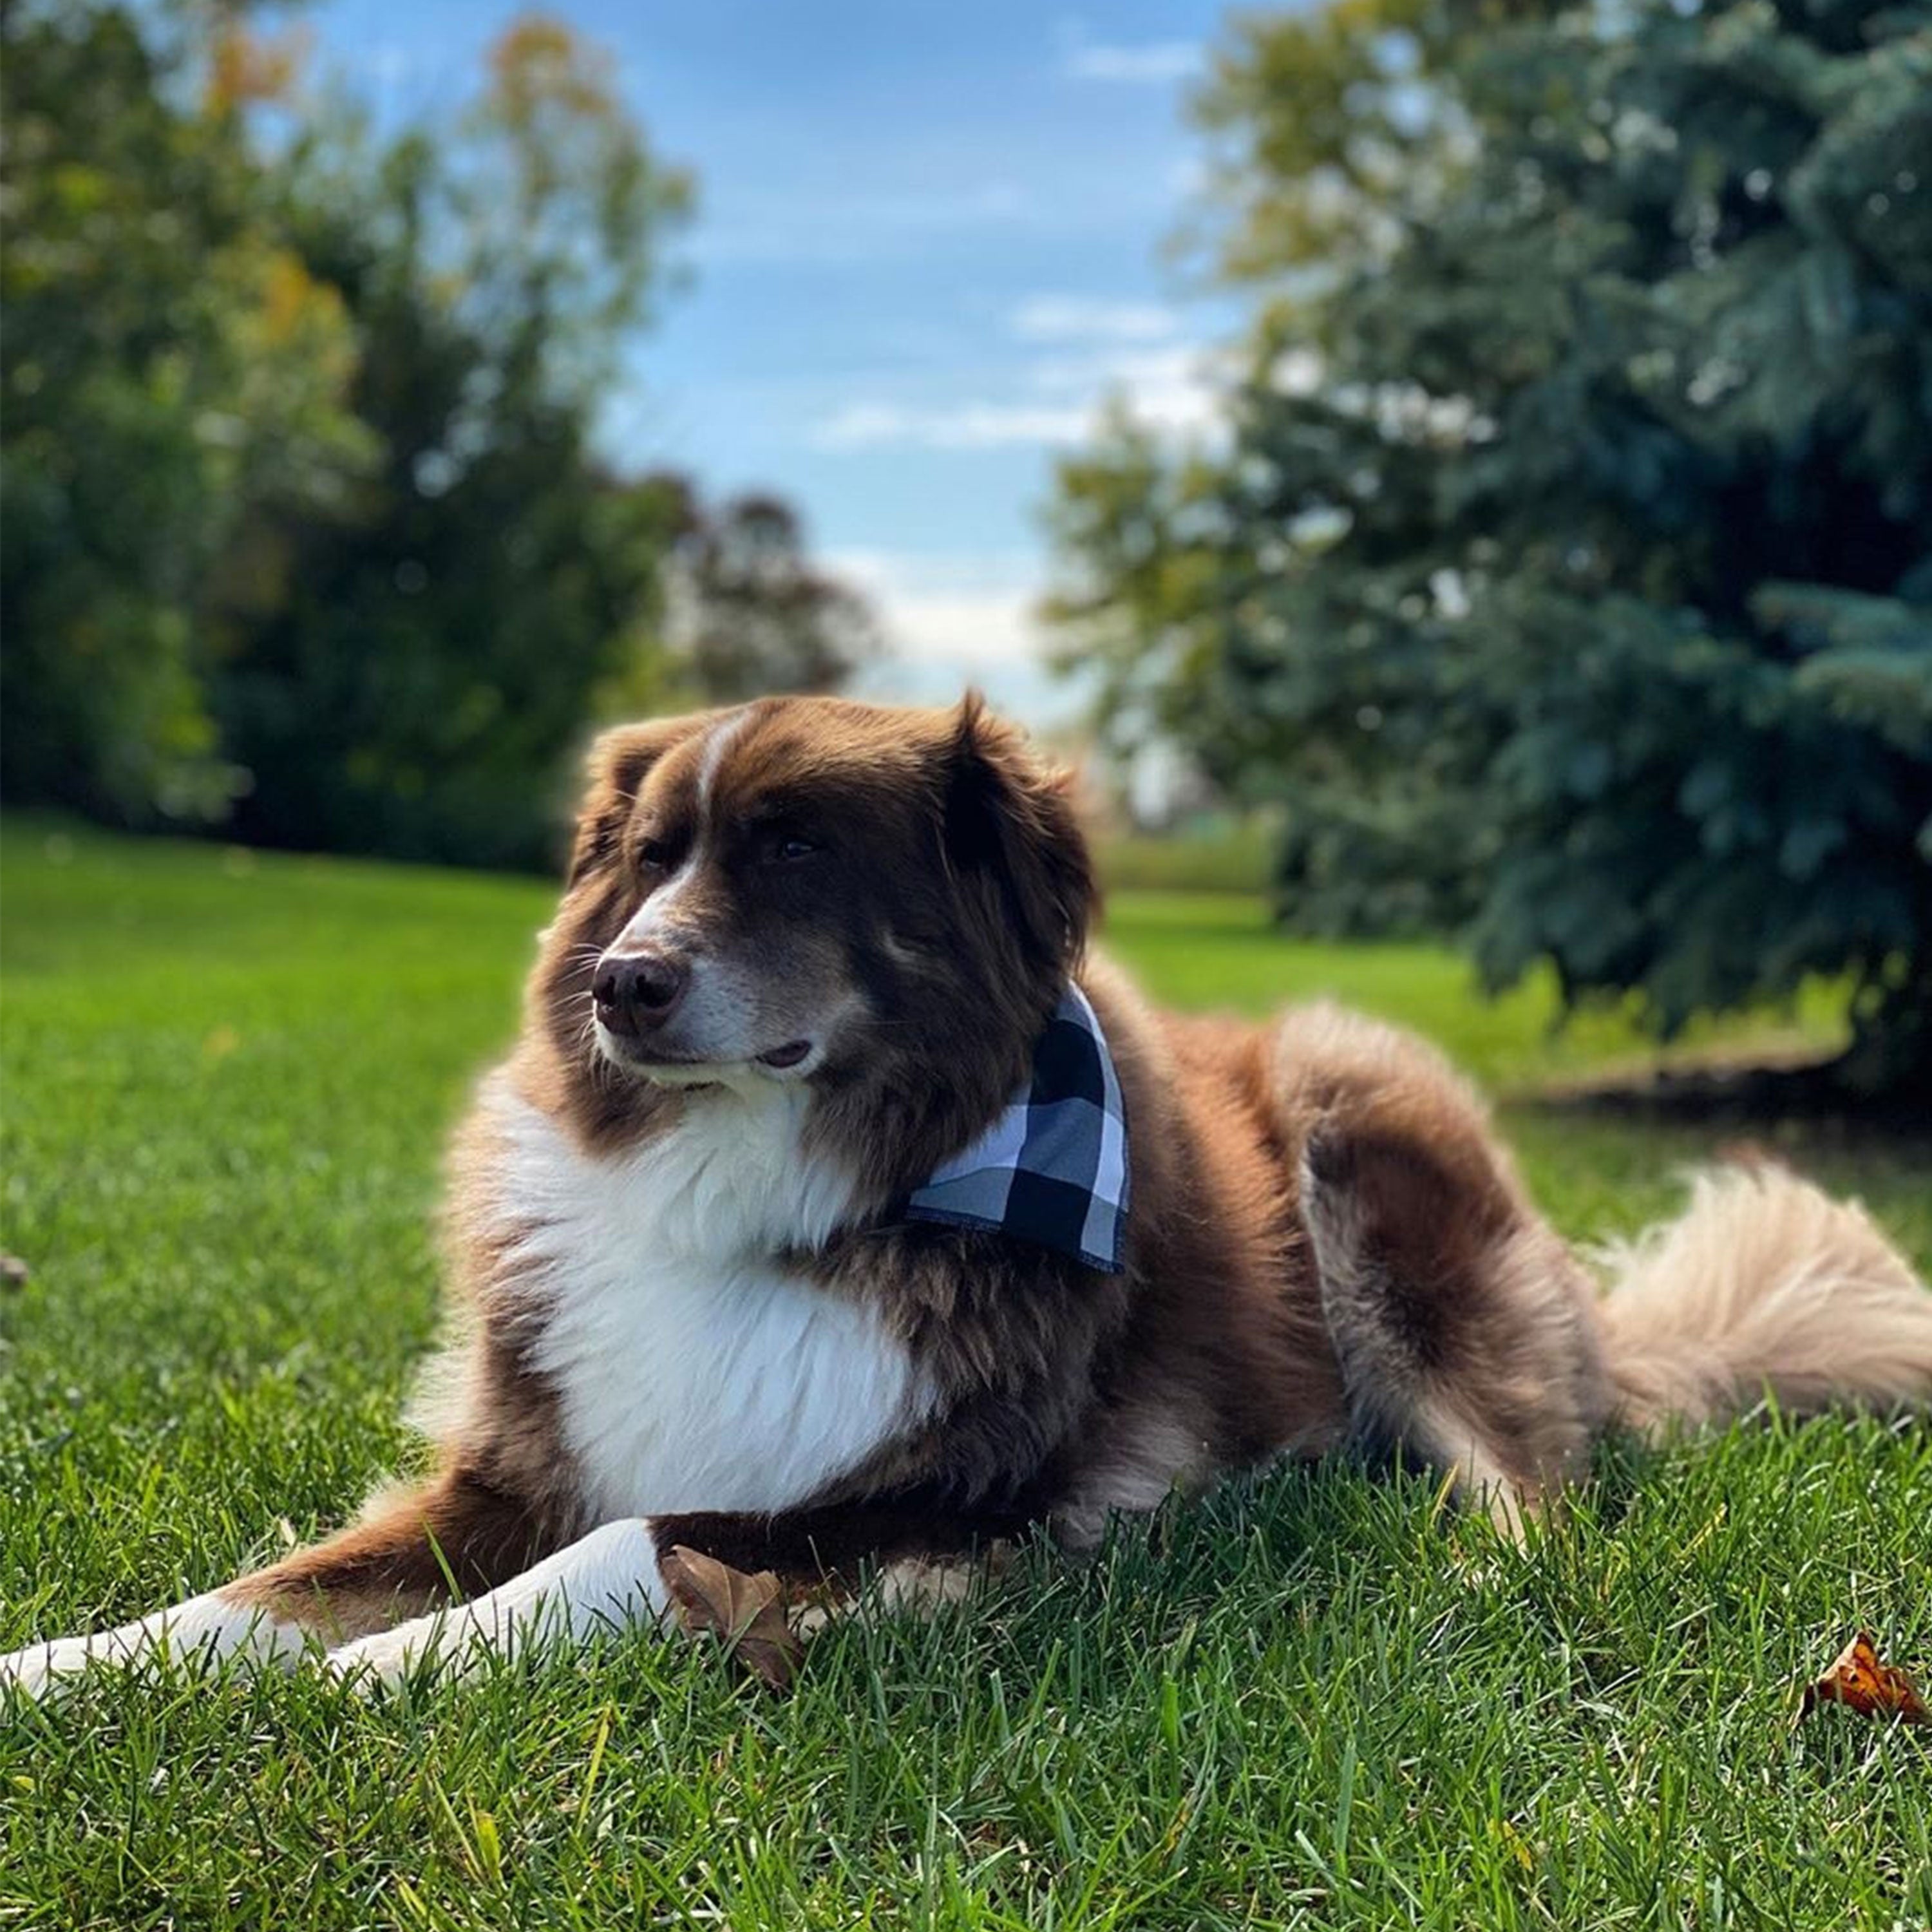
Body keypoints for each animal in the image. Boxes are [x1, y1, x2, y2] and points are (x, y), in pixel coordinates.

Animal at [3, 696, 1932, 1692]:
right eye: (645, 855)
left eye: (794, 847)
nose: (622, 982)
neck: (758, 1193)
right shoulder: (510, 1464)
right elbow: (253, 1594)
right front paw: (72, 1673)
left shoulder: (931, 1508)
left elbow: (608, 1555)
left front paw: (374, 1683)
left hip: (1368, 1137)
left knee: (1533, 1485)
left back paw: (1428, 1564)